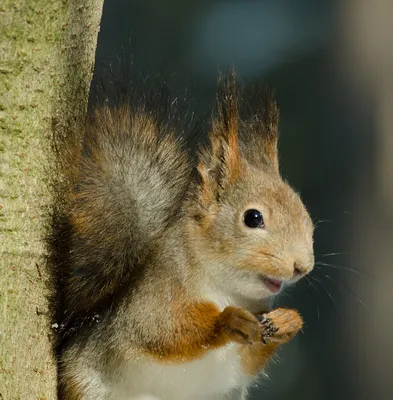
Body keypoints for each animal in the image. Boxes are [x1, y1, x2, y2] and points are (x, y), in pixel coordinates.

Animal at [47, 70, 314, 398]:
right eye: (253, 218)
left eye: (305, 214)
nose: (302, 266)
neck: (226, 288)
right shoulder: (151, 303)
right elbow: (163, 332)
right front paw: (226, 320)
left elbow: (249, 360)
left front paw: (288, 321)